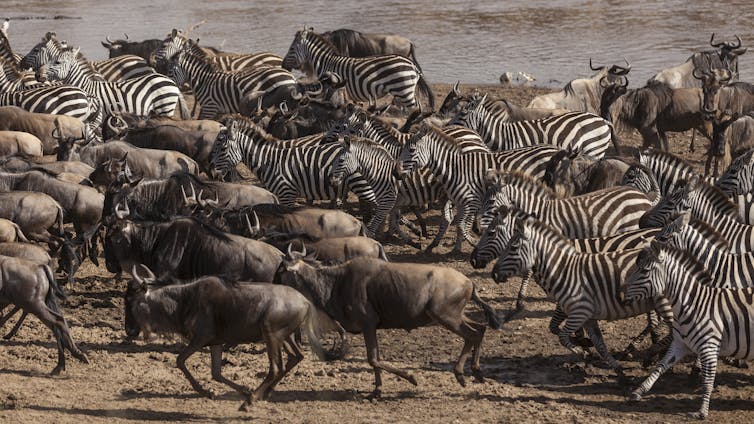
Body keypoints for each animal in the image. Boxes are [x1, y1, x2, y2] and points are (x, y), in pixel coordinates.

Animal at [164, 40, 298, 119]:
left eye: (170, 70)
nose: (167, 83)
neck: (203, 81)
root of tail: (291, 76)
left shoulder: (209, 107)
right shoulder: (216, 110)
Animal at [283, 27, 434, 111]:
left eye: (291, 49)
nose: (283, 66)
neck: (327, 62)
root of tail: (411, 65)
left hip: (403, 90)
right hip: (407, 90)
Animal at [398, 122, 562, 252]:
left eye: (411, 150)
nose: (396, 172)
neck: (455, 169)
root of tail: (556, 149)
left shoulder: (473, 201)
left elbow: (462, 225)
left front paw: (474, 243)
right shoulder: (461, 203)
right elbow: (459, 225)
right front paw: (456, 248)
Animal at [491, 215, 672, 381]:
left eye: (513, 247)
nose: (493, 274)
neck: (564, 270)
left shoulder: (580, 311)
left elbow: (562, 336)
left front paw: (583, 352)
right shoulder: (587, 316)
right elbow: (598, 344)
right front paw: (614, 369)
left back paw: (649, 353)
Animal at [623, 242, 754, 419]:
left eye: (644, 271)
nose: (622, 297)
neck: (694, 304)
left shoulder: (709, 347)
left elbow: (707, 382)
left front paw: (702, 412)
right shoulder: (679, 344)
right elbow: (660, 366)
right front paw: (639, 391)